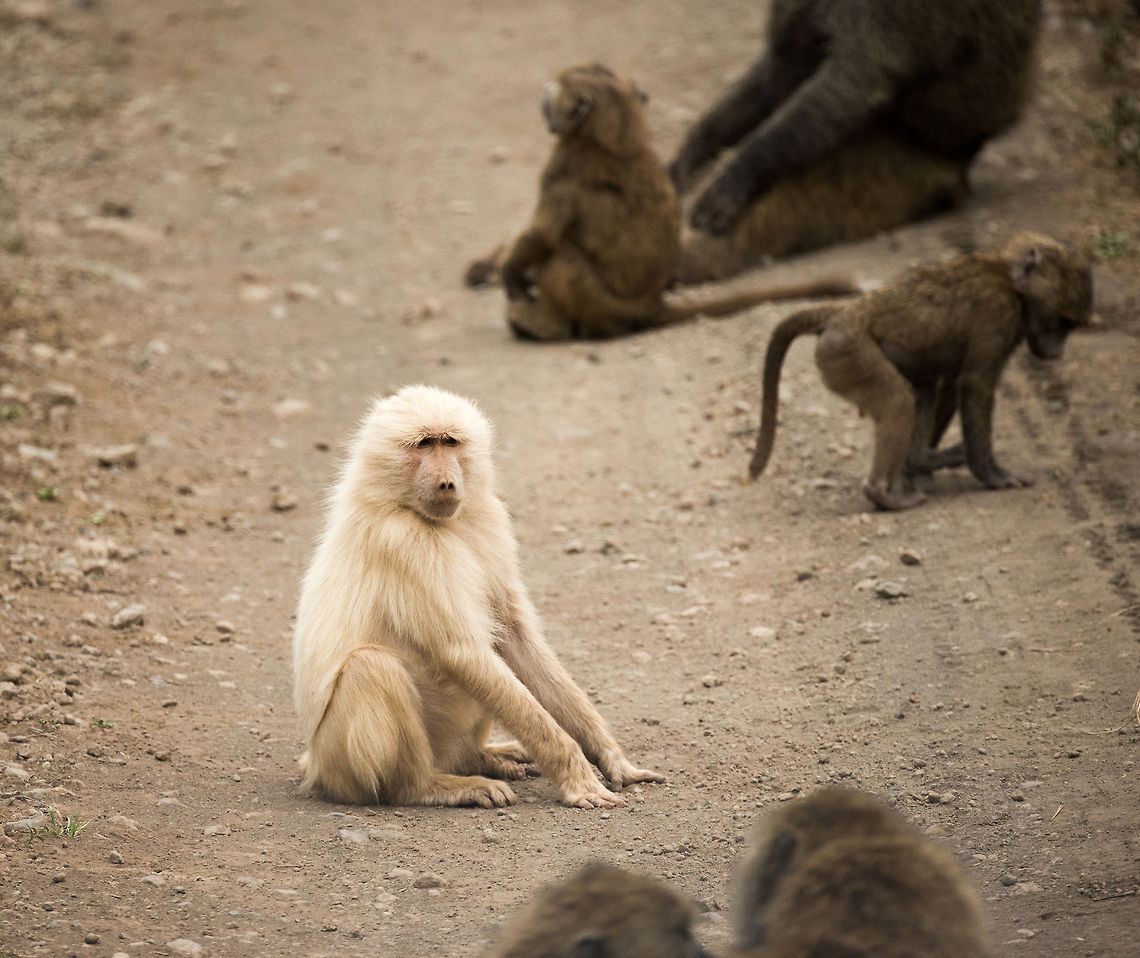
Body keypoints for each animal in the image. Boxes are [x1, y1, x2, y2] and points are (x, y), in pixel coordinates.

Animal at [292, 384, 664, 809]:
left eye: (450, 442)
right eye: (424, 444)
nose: (446, 483)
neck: (404, 506)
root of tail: (314, 765)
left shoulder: (490, 519)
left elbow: (514, 637)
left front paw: (613, 759)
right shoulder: (404, 541)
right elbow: (462, 652)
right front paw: (577, 776)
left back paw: (481, 757)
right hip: (342, 767)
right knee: (372, 666)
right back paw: (428, 787)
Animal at [465, 63, 862, 341]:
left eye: (561, 86)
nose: (545, 94)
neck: (614, 140)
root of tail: (651, 305)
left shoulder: (562, 170)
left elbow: (543, 236)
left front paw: (511, 277)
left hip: (601, 303)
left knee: (561, 256)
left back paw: (554, 327)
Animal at [748, 231, 1093, 511]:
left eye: (1071, 326)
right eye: (1062, 322)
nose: (1057, 352)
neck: (1010, 281)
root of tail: (844, 312)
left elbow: (951, 385)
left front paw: (919, 467)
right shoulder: (998, 312)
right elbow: (975, 384)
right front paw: (993, 475)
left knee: (922, 390)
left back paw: (918, 461)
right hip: (849, 352)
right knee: (899, 400)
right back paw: (882, 494)